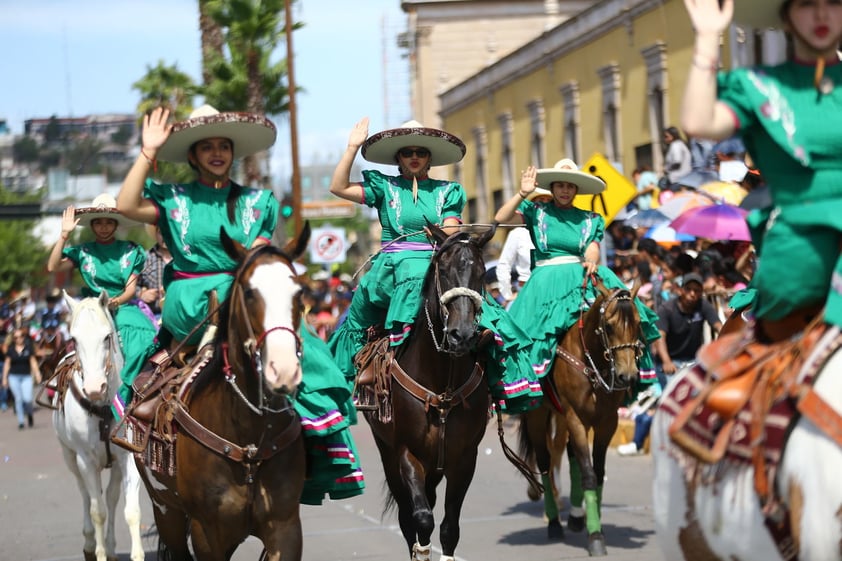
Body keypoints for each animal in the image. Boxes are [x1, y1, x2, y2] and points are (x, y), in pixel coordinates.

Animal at [53, 290, 144, 560]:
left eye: (106, 337)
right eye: (74, 338)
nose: (94, 387)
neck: (102, 407)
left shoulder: (128, 456)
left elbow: (130, 510)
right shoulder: (85, 459)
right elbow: (97, 512)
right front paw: (99, 551)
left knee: (112, 498)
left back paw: (112, 547)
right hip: (70, 456)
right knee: (85, 494)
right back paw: (90, 542)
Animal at [133, 225, 310, 556]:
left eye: (299, 293)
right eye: (250, 292)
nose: (283, 369)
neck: (249, 437)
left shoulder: (286, 528)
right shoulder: (207, 533)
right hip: (165, 510)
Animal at [364, 223, 496, 560]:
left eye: (481, 273)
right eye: (444, 271)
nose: (462, 334)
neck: (442, 385)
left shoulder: (465, 458)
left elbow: (450, 528)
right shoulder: (407, 454)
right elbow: (421, 520)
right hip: (387, 452)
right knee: (407, 515)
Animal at [512, 280, 644, 556]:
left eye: (638, 324)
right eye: (609, 326)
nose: (628, 376)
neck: (592, 366)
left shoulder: (607, 423)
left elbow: (597, 471)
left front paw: (595, 524)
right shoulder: (576, 419)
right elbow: (589, 475)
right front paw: (595, 537)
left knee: (567, 454)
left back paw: (574, 516)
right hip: (539, 416)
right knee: (545, 460)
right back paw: (553, 522)